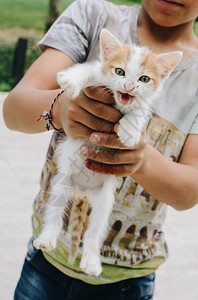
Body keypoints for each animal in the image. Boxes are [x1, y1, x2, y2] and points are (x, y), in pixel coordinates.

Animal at [32, 29, 183, 276]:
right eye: (119, 71)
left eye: (144, 79)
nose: (129, 86)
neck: (117, 102)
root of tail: (82, 191)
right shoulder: (97, 72)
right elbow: (85, 69)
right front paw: (69, 81)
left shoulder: (143, 104)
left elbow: (139, 110)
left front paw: (129, 130)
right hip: (62, 184)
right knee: (55, 214)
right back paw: (47, 238)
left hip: (104, 200)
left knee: (95, 232)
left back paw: (91, 261)